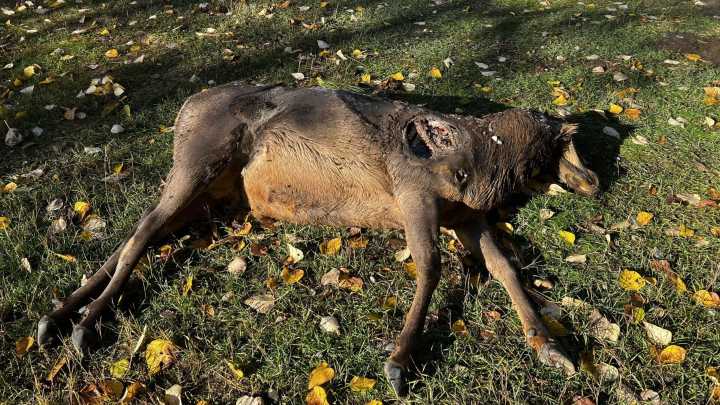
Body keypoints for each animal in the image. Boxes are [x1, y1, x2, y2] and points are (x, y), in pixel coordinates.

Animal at [36, 83, 599, 395]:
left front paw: (553, 347)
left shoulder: (466, 216)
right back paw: (82, 325)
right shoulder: (412, 188)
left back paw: (58, 317)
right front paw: (399, 361)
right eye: (568, 142)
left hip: (216, 197)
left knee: (142, 231)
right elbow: (430, 263)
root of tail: (184, 110)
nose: (595, 181)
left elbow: (504, 266)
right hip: (200, 157)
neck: (485, 167)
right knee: (143, 229)